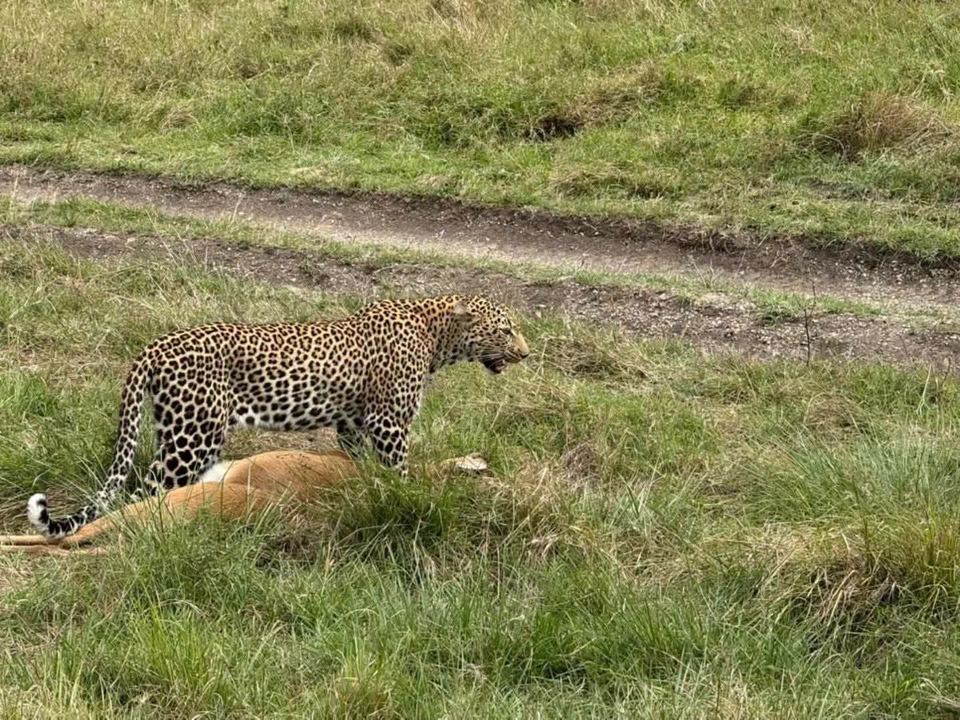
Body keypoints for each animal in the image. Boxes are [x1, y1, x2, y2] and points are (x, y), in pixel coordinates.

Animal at [26, 294, 530, 539]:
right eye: (506, 330)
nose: (526, 353)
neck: (437, 336)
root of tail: (153, 347)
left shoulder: (352, 424)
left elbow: (360, 464)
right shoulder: (389, 423)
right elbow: (399, 470)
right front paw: (405, 498)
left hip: (172, 430)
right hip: (194, 437)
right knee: (148, 491)